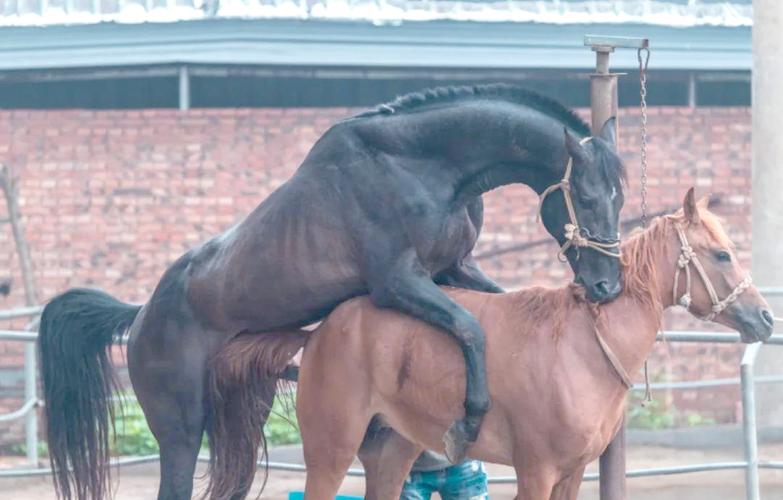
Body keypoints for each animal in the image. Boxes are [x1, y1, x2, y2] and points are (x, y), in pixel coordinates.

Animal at [37, 84, 627, 500]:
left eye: (620, 198)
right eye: (586, 196)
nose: (606, 284)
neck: (421, 166)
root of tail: (139, 318)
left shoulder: (455, 269)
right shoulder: (399, 282)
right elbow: (470, 327)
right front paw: (468, 421)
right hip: (181, 432)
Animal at [209, 188, 773, 500]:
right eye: (722, 254)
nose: (766, 319)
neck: (583, 348)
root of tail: (323, 331)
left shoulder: (572, 474)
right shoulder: (536, 472)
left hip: (390, 453)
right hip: (330, 451)